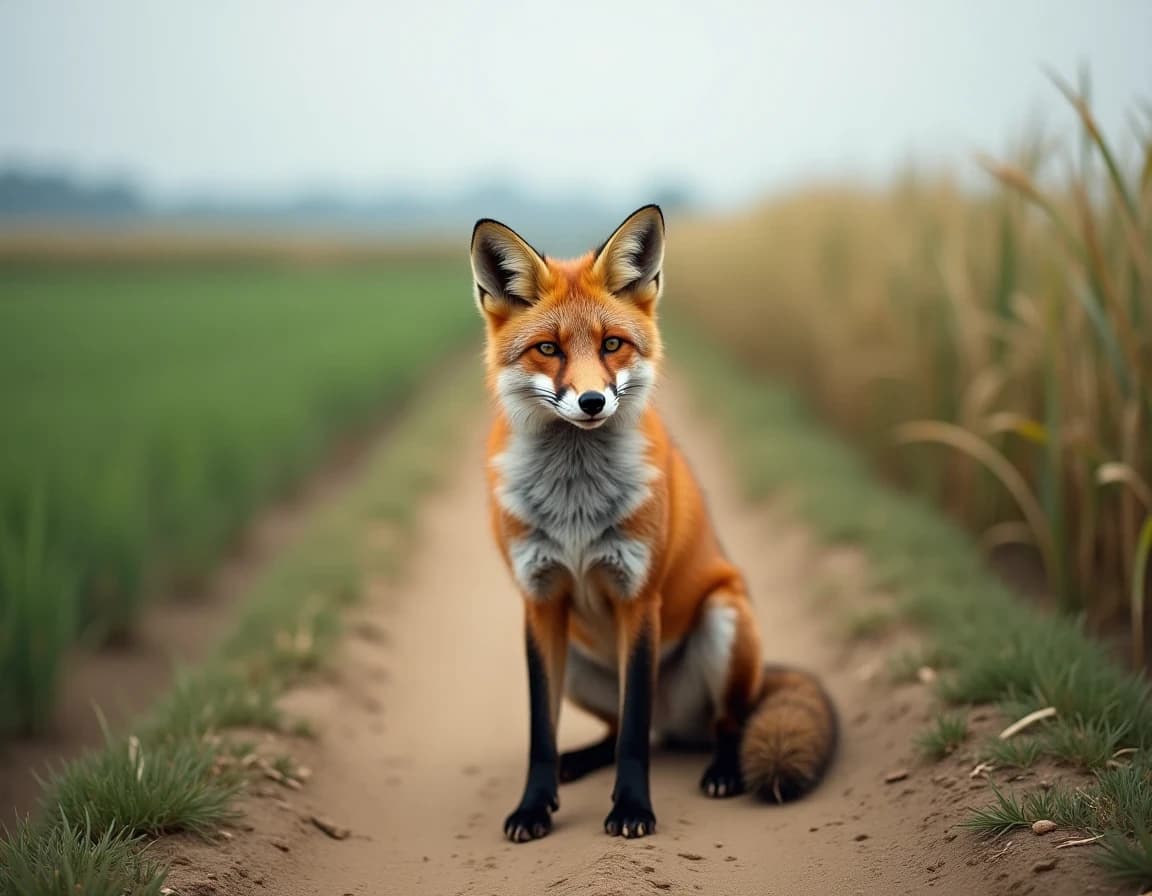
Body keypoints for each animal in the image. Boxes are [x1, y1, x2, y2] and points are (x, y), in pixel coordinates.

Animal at [471, 204, 837, 842]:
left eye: (613, 344)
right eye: (548, 349)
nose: (592, 401)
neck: (575, 506)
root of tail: (677, 721)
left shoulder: (638, 596)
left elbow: (635, 741)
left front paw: (631, 809)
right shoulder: (539, 600)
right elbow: (542, 732)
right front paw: (533, 807)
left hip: (724, 621)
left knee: (717, 723)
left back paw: (723, 770)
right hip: (579, 663)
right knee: (617, 728)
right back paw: (576, 763)